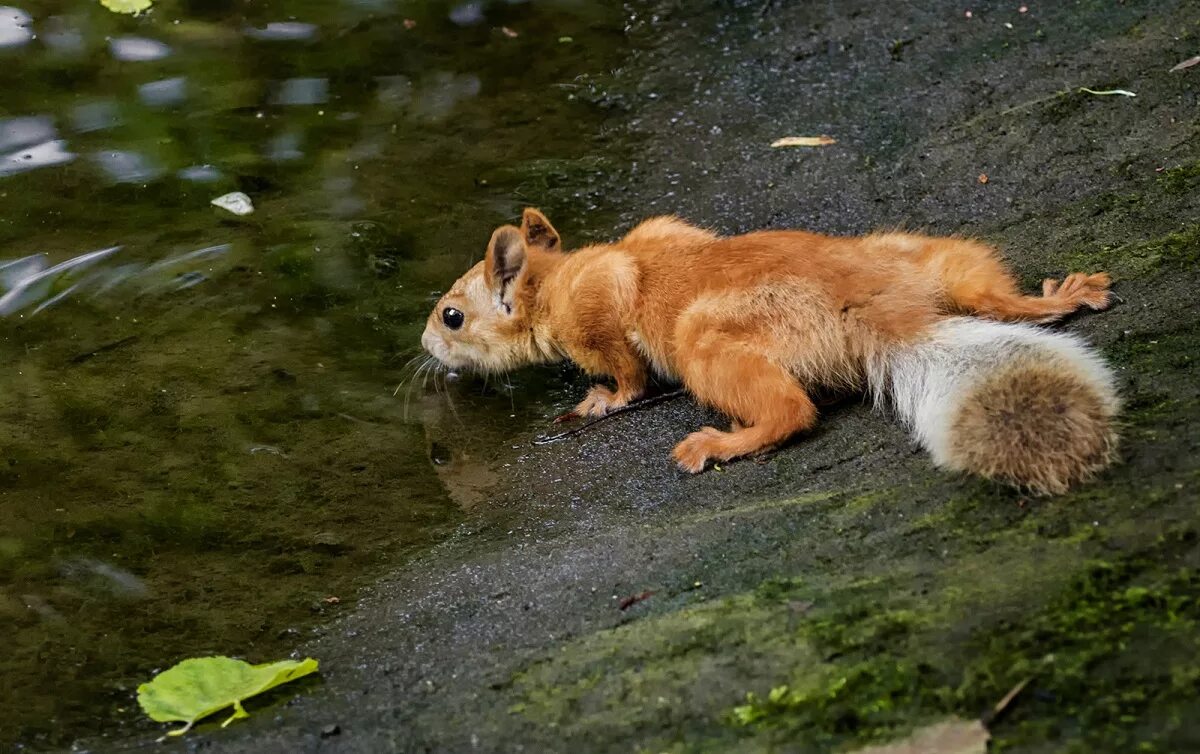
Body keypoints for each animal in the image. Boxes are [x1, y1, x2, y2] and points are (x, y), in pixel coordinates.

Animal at [422, 208, 1113, 497]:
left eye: (452, 315)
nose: (425, 344)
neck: (556, 278)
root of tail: (877, 307)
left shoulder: (596, 312)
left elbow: (626, 374)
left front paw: (600, 402)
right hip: (920, 256)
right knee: (984, 289)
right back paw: (1057, 298)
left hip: (704, 338)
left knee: (792, 412)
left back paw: (721, 444)